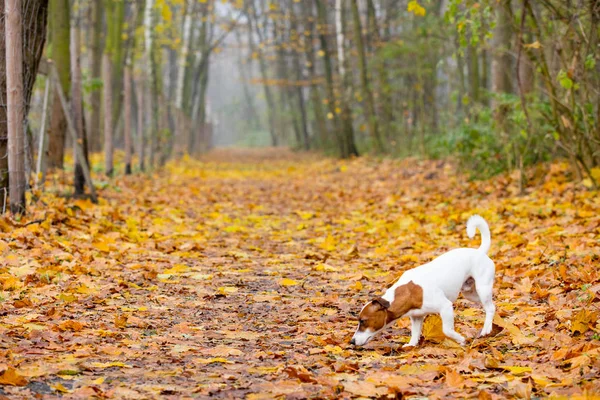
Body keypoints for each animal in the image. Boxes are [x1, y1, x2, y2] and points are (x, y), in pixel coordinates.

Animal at [350, 216, 494, 346]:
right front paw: (411, 345)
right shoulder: (416, 317)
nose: (352, 341)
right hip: (470, 294)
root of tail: (480, 252)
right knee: (492, 306)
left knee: (490, 308)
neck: (408, 292)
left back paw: (486, 330)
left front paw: (461, 339)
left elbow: (447, 330)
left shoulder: (445, 307)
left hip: (482, 289)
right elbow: (415, 334)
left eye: (363, 321)